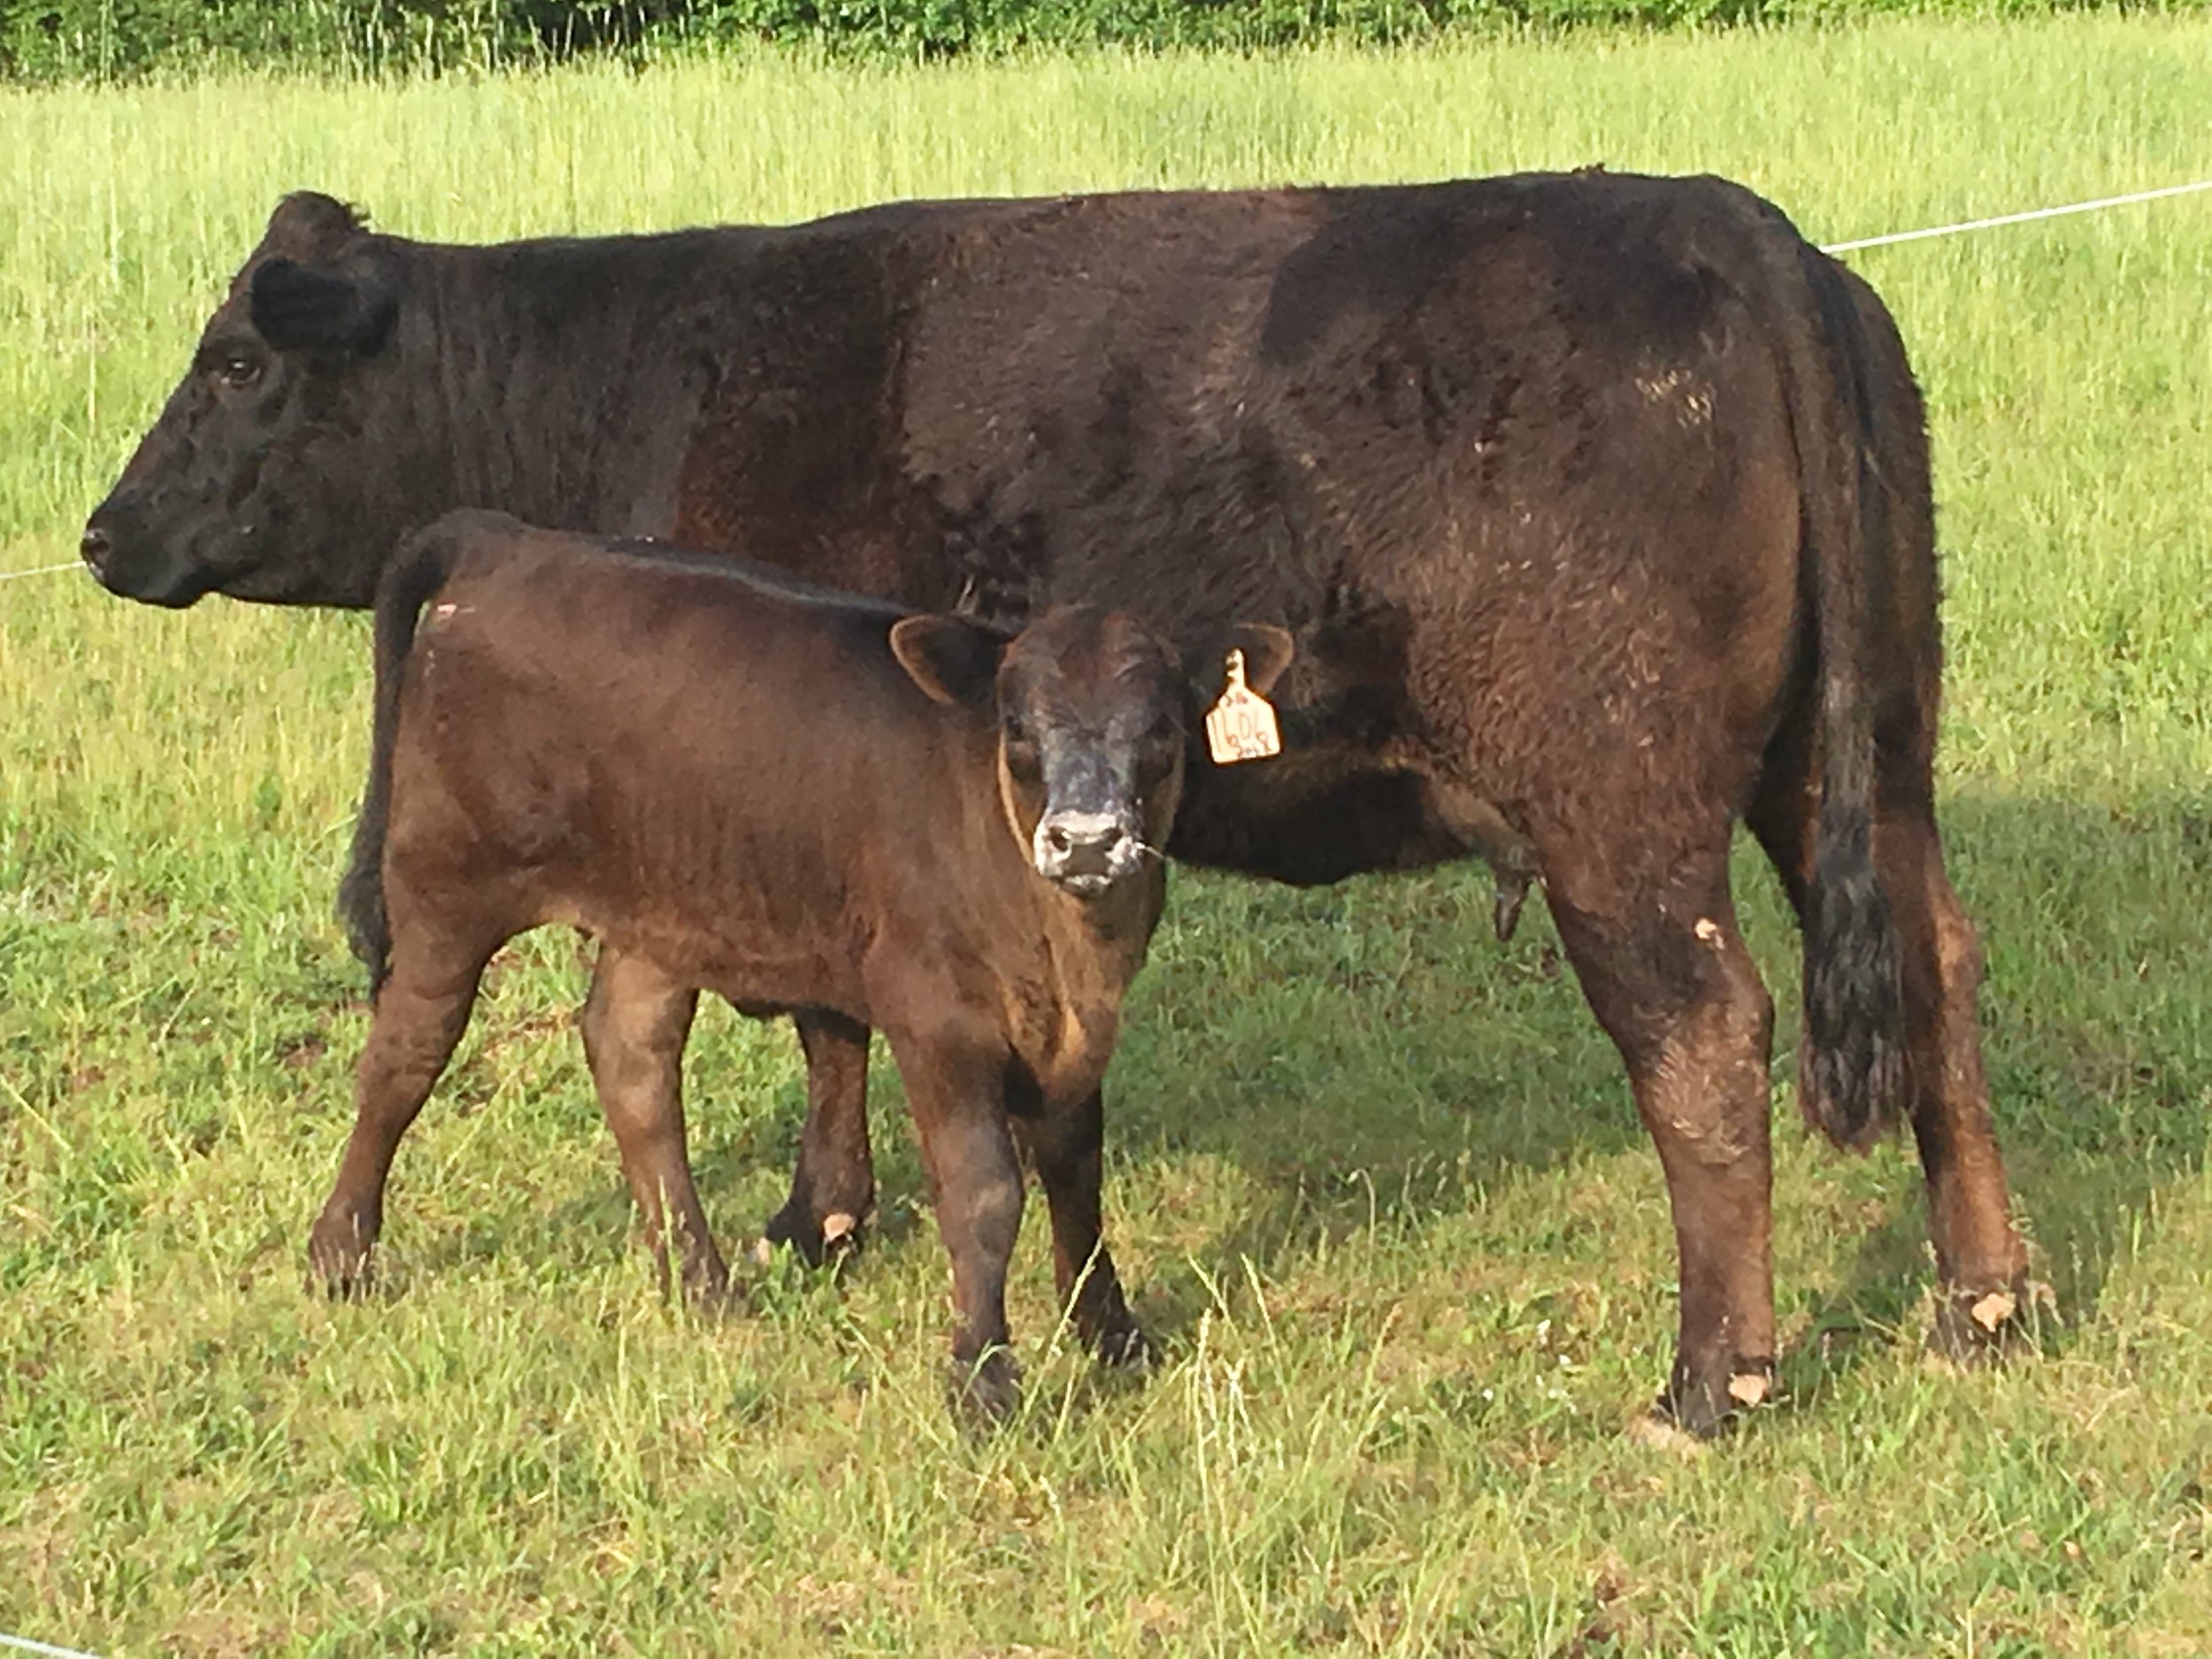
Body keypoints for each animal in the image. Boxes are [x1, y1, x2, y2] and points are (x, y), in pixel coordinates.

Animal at [318, 508, 1289, 1416]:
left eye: (1160, 729)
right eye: (1016, 728)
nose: (1086, 840)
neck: (1066, 951)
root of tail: (508, 541)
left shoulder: (1079, 1033)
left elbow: (1077, 1173)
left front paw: (1112, 1336)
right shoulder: (934, 1016)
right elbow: (982, 1192)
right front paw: (981, 1381)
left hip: (661, 904)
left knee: (631, 1056)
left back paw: (701, 1282)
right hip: (446, 880)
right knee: (404, 1056)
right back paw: (340, 1255)